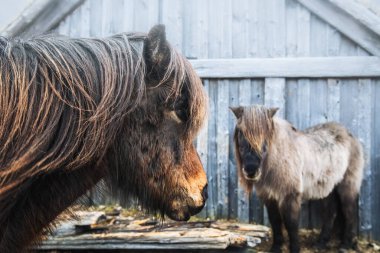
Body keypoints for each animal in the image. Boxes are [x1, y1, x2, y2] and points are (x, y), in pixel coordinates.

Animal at [230, 105, 364, 253]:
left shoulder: (290, 195)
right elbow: (275, 221)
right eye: (241, 132)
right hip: (328, 187)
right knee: (331, 212)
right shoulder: (269, 196)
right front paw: (276, 247)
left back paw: (346, 245)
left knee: (349, 211)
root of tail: (351, 136)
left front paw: (294, 248)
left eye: (266, 135)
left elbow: (291, 224)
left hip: (347, 185)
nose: (251, 170)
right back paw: (321, 243)